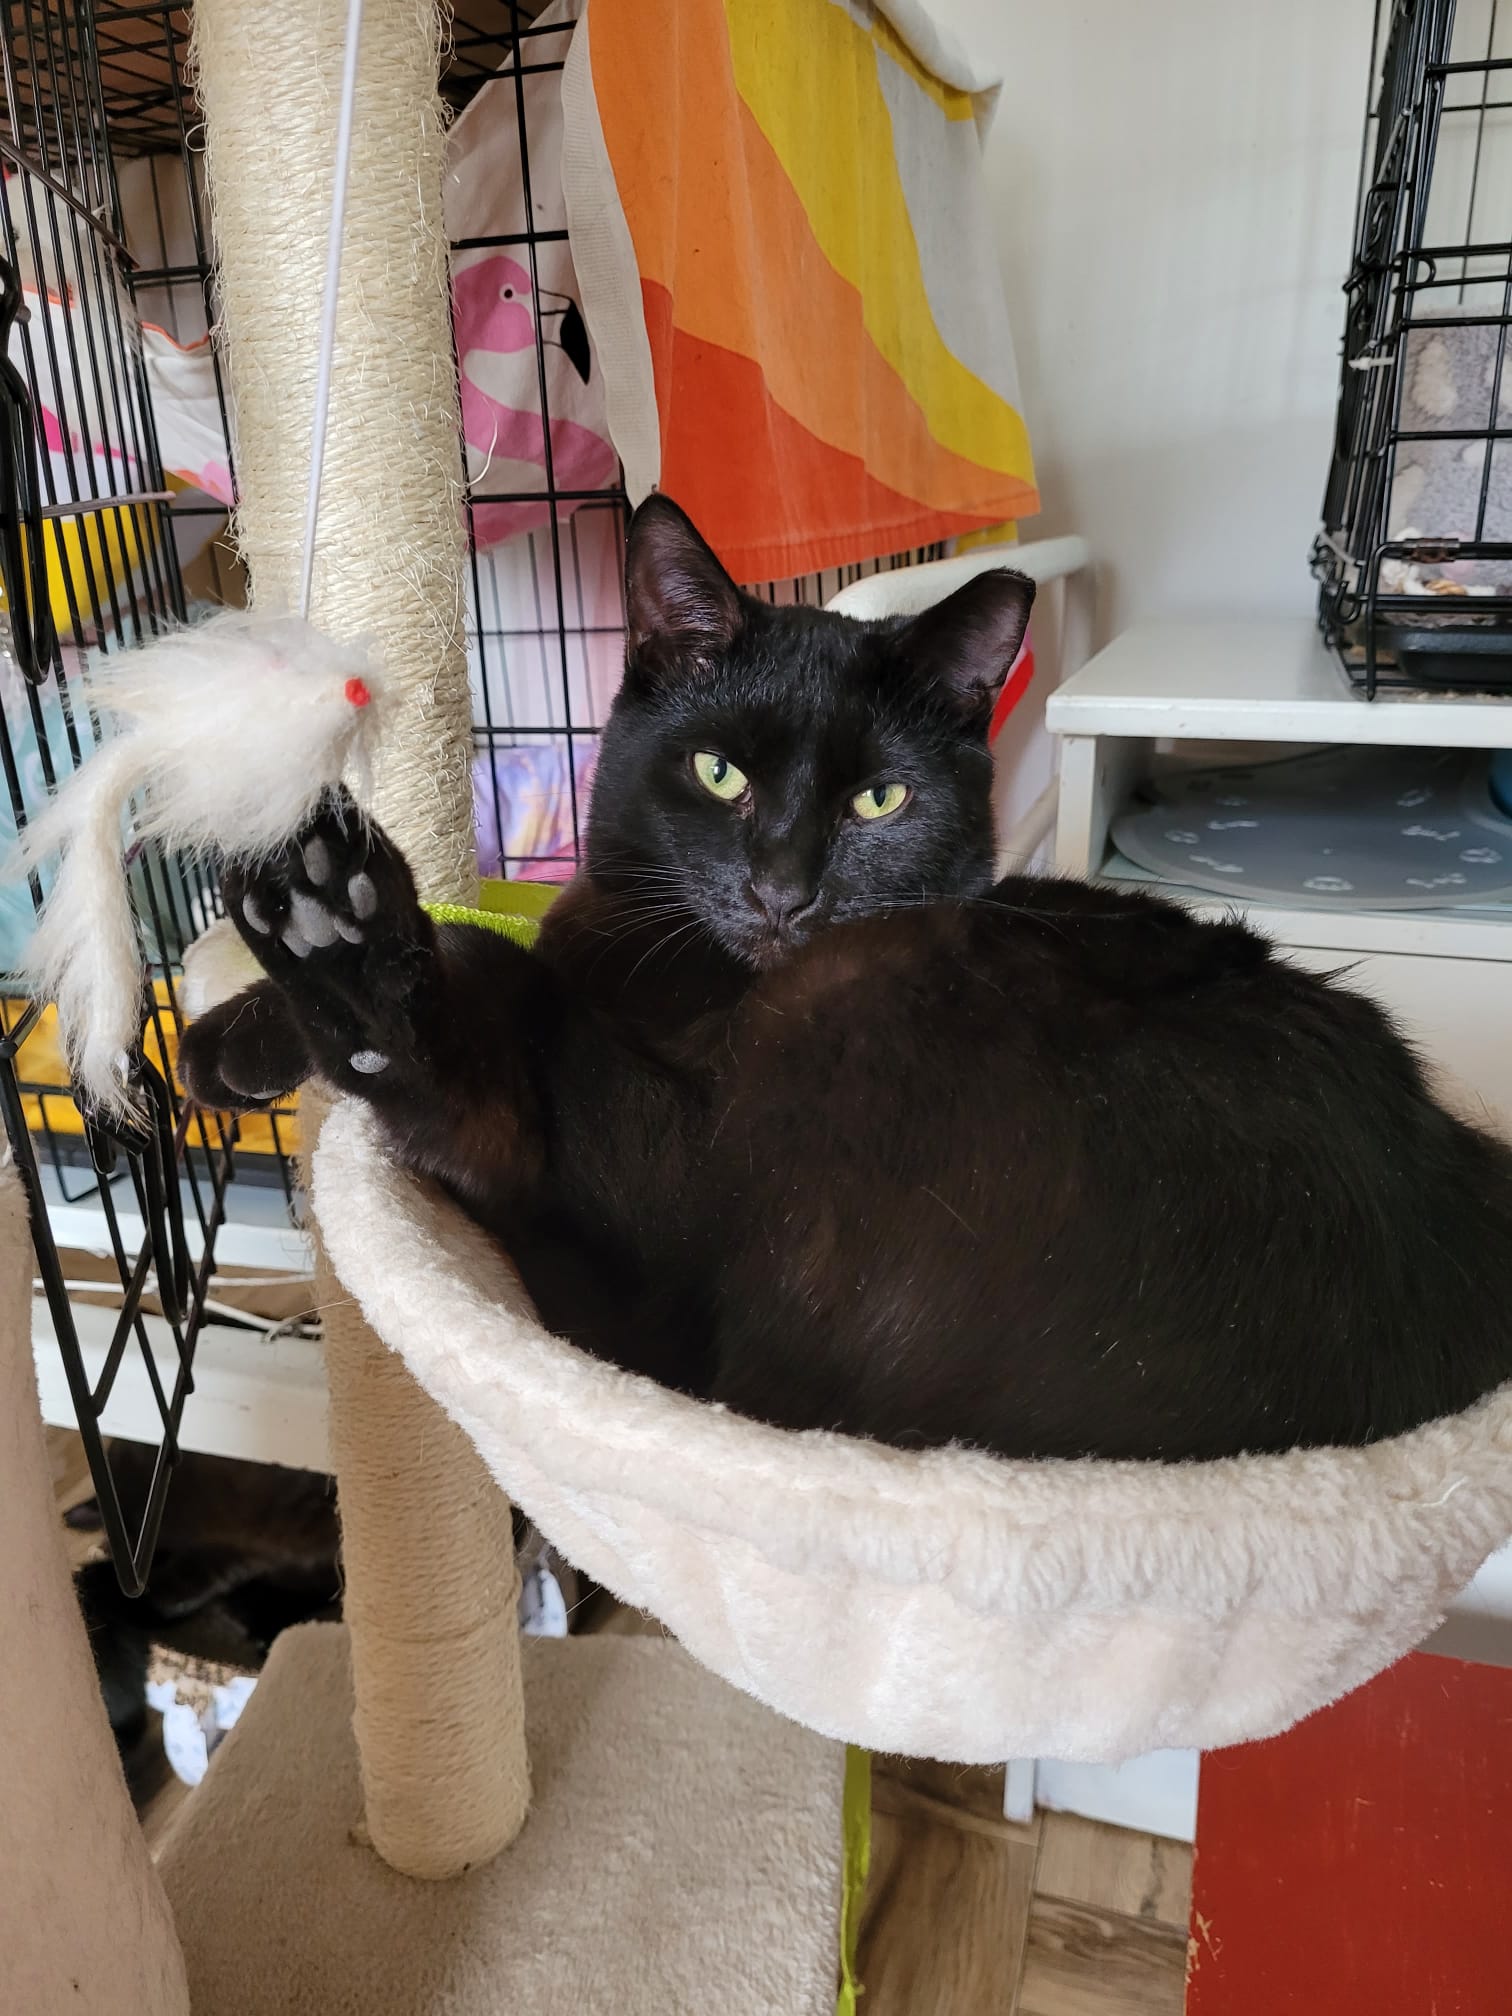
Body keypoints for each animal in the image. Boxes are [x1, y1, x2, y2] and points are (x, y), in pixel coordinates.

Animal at [179, 495, 1512, 1462]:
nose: (783, 890)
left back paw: (345, 945)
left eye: (881, 799)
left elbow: (493, 972)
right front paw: (231, 1032)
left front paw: (321, 958)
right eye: (719, 773)